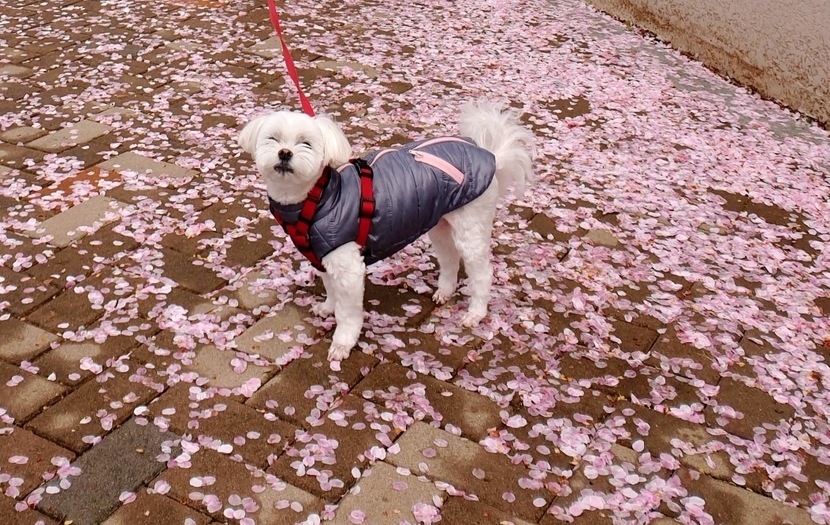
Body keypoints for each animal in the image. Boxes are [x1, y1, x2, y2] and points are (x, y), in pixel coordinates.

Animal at [237, 100, 535, 362]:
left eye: (306, 143)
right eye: (273, 139)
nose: (285, 153)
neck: (318, 198)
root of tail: (490, 156)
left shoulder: (348, 266)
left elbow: (348, 311)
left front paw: (342, 343)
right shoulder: (323, 257)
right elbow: (331, 290)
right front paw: (328, 307)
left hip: (471, 222)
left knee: (481, 271)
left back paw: (476, 313)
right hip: (439, 221)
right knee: (449, 257)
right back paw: (445, 291)